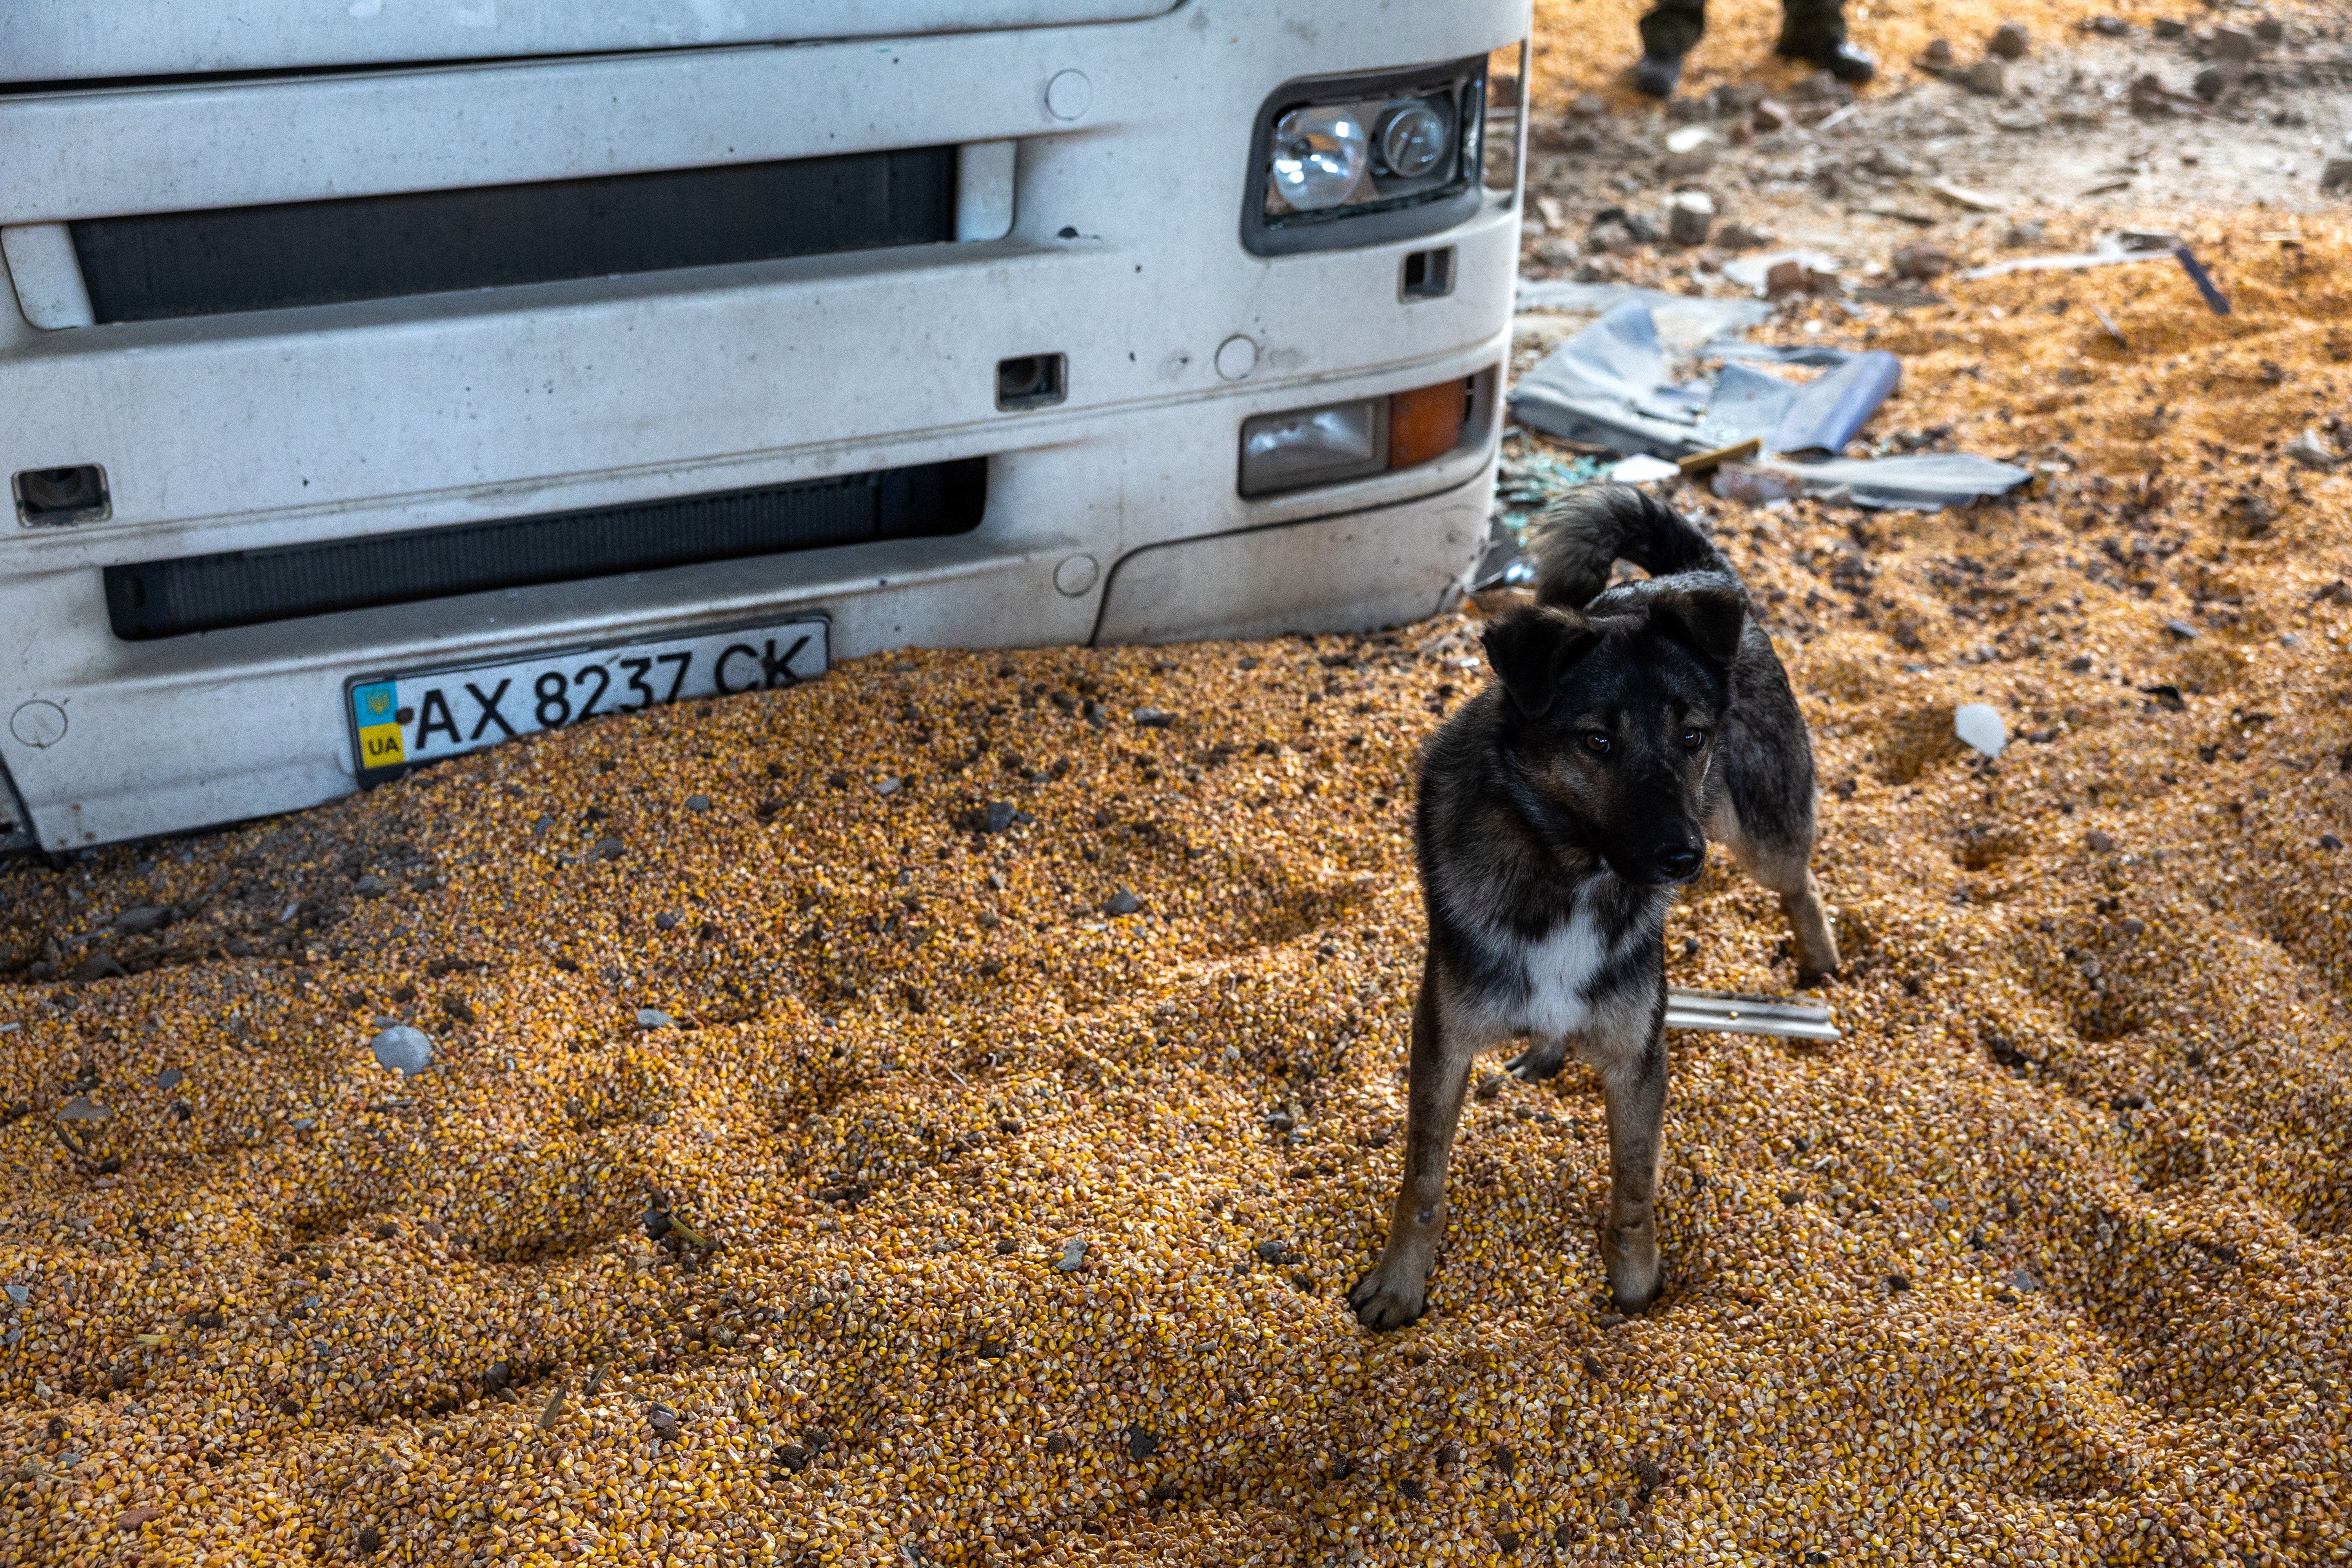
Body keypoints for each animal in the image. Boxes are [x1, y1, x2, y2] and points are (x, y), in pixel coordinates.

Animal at [1345, 486, 1835, 1326]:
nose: (1685, 859)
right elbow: (1423, 1180)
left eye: (1693, 737)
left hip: (1762, 831)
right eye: (1596, 743)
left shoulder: (1640, 1055)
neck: (1573, 868)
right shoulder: (1441, 1041)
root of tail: (1692, 572)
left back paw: (1821, 967)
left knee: (1801, 884)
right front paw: (1400, 1286)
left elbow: (1634, 1188)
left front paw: (1636, 1291)